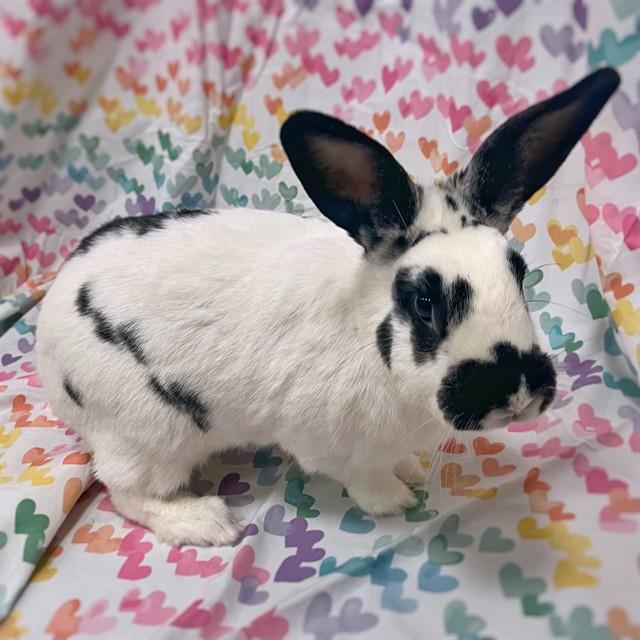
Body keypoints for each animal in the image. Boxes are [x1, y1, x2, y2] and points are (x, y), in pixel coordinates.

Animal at [36, 68, 620, 546]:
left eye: (518, 272)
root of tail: (47, 334)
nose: (517, 395)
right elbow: (362, 478)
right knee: (124, 492)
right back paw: (205, 522)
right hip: (151, 434)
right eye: (424, 301)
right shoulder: (326, 443)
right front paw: (397, 498)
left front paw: (412, 469)